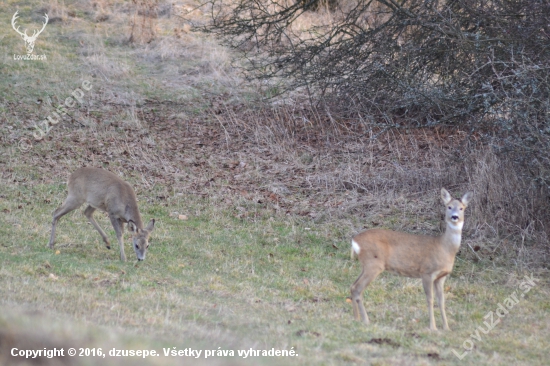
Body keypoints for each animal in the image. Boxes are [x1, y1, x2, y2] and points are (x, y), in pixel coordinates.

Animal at [352, 189, 472, 332]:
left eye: (461, 208)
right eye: (449, 207)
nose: (455, 217)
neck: (445, 248)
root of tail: (355, 241)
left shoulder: (441, 277)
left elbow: (441, 301)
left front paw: (446, 328)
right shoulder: (426, 272)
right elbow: (430, 299)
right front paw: (433, 328)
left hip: (366, 265)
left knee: (353, 285)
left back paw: (357, 318)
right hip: (373, 263)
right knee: (358, 288)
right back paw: (365, 320)